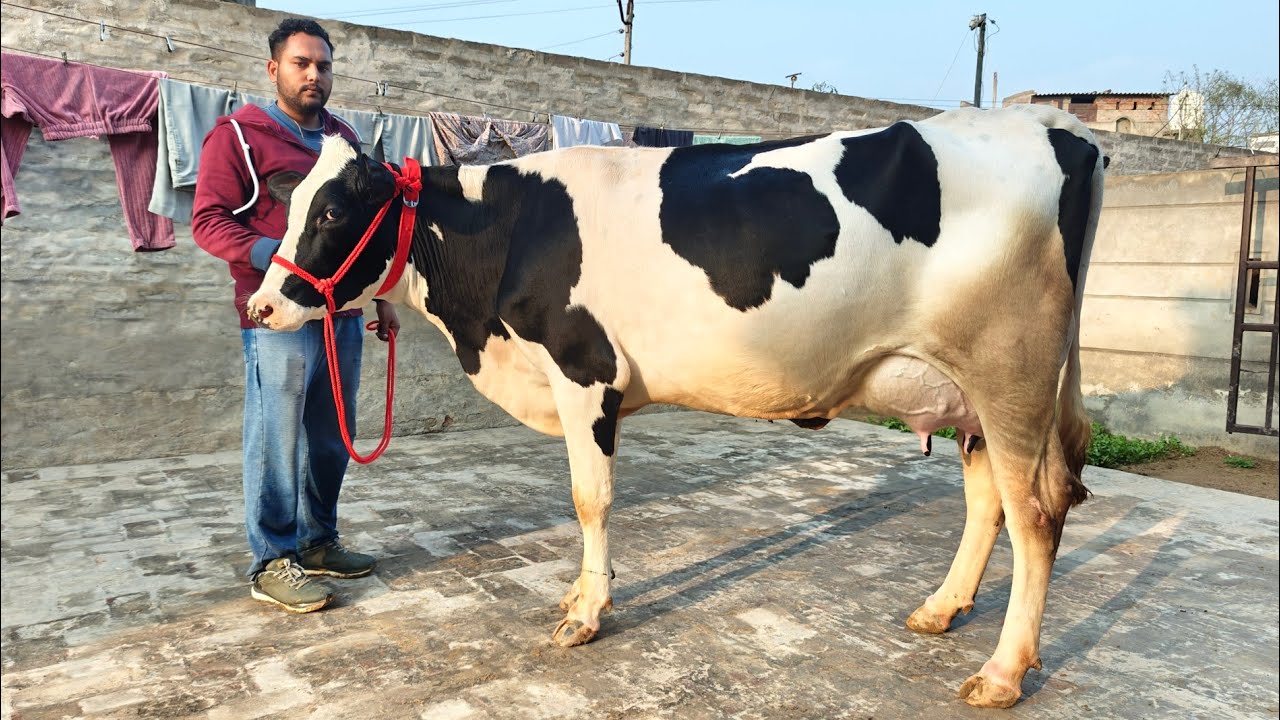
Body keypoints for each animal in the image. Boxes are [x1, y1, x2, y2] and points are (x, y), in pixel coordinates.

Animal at [247, 104, 1104, 708]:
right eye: (292, 207)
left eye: (332, 213)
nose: (259, 306)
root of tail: (1051, 127)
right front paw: (580, 592)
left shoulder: (585, 369)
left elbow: (589, 499)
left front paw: (585, 613)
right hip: (970, 390)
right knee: (988, 500)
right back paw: (941, 609)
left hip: (1011, 373)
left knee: (1036, 514)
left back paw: (1002, 672)